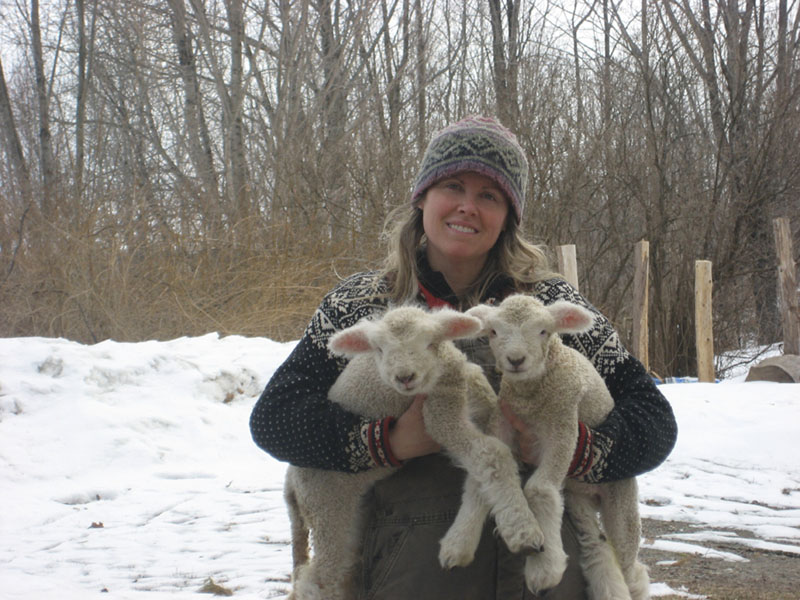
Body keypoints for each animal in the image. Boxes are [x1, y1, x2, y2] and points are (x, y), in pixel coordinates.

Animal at [284, 304, 540, 600]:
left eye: (429, 343)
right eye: (379, 349)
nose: (404, 377)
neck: (445, 376)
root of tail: (290, 483)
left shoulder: (470, 394)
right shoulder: (438, 417)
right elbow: (494, 453)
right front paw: (523, 531)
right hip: (327, 510)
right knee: (318, 581)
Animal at [450, 296, 648, 600]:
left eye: (543, 331)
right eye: (493, 331)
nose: (516, 360)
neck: (531, 395)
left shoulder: (563, 427)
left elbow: (539, 490)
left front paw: (544, 569)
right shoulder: (502, 422)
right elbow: (482, 477)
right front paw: (459, 542)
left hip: (621, 501)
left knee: (631, 566)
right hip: (578, 500)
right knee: (596, 545)